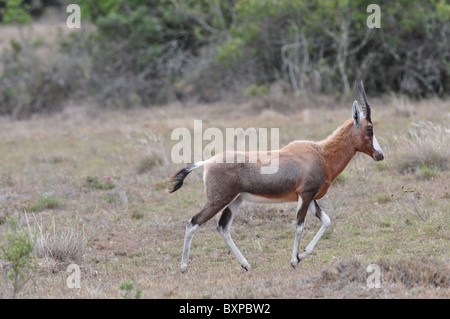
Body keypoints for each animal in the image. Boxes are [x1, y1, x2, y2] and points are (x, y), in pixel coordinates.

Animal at [169, 81, 384, 274]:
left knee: (223, 227)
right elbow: (300, 225)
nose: (380, 155)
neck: (321, 153)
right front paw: (294, 261)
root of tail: (207, 162)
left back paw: (246, 265)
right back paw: (184, 268)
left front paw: (301, 255)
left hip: (236, 200)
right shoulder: (306, 195)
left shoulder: (309, 197)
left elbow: (326, 221)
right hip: (218, 200)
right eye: (369, 128)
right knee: (193, 222)